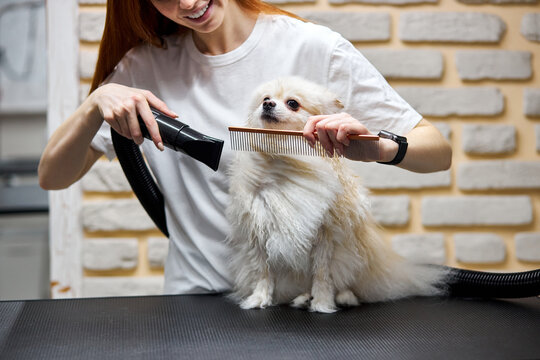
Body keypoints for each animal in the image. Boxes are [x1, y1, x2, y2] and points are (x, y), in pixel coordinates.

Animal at [225, 76, 448, 312]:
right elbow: (263, 272)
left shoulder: (325, 238)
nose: (268, 104)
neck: (282, 157)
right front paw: (259, 298)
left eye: (292, 103)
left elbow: (322, 274)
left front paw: (322, 302)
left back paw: (343, 297)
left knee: (346, 283)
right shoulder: (257, 234)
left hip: (354, 260)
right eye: (265, 99)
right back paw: (303, 297)